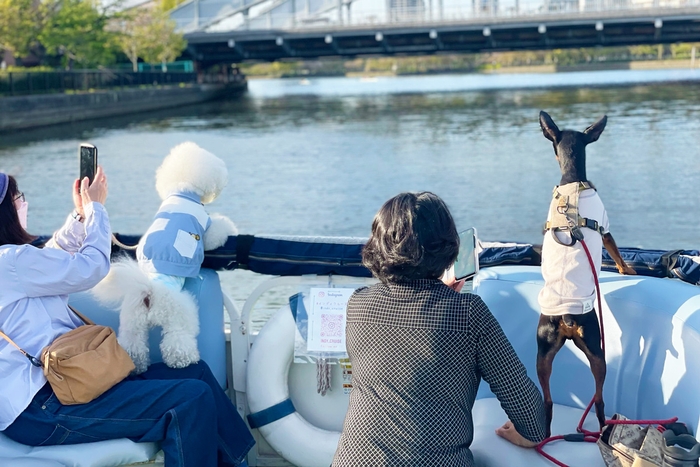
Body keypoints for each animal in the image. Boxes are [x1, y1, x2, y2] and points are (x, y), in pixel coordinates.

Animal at [93, 143, 238, 372]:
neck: (183, 191)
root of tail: (149, 291)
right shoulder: (207, 228)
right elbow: (217, 231)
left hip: (132, 321)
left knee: (133, 345)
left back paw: (136, 366)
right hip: (179, 315)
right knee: (177, 341)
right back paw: (184, 360)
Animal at [536, 112, 636, 438]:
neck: (572, 181)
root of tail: (567, 318)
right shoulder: (606, 228)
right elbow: (615, 249)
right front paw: (626, 268)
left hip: (542, 354)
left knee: (548, 400)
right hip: (597, 349)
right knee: (600, 398)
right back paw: (602, 427)